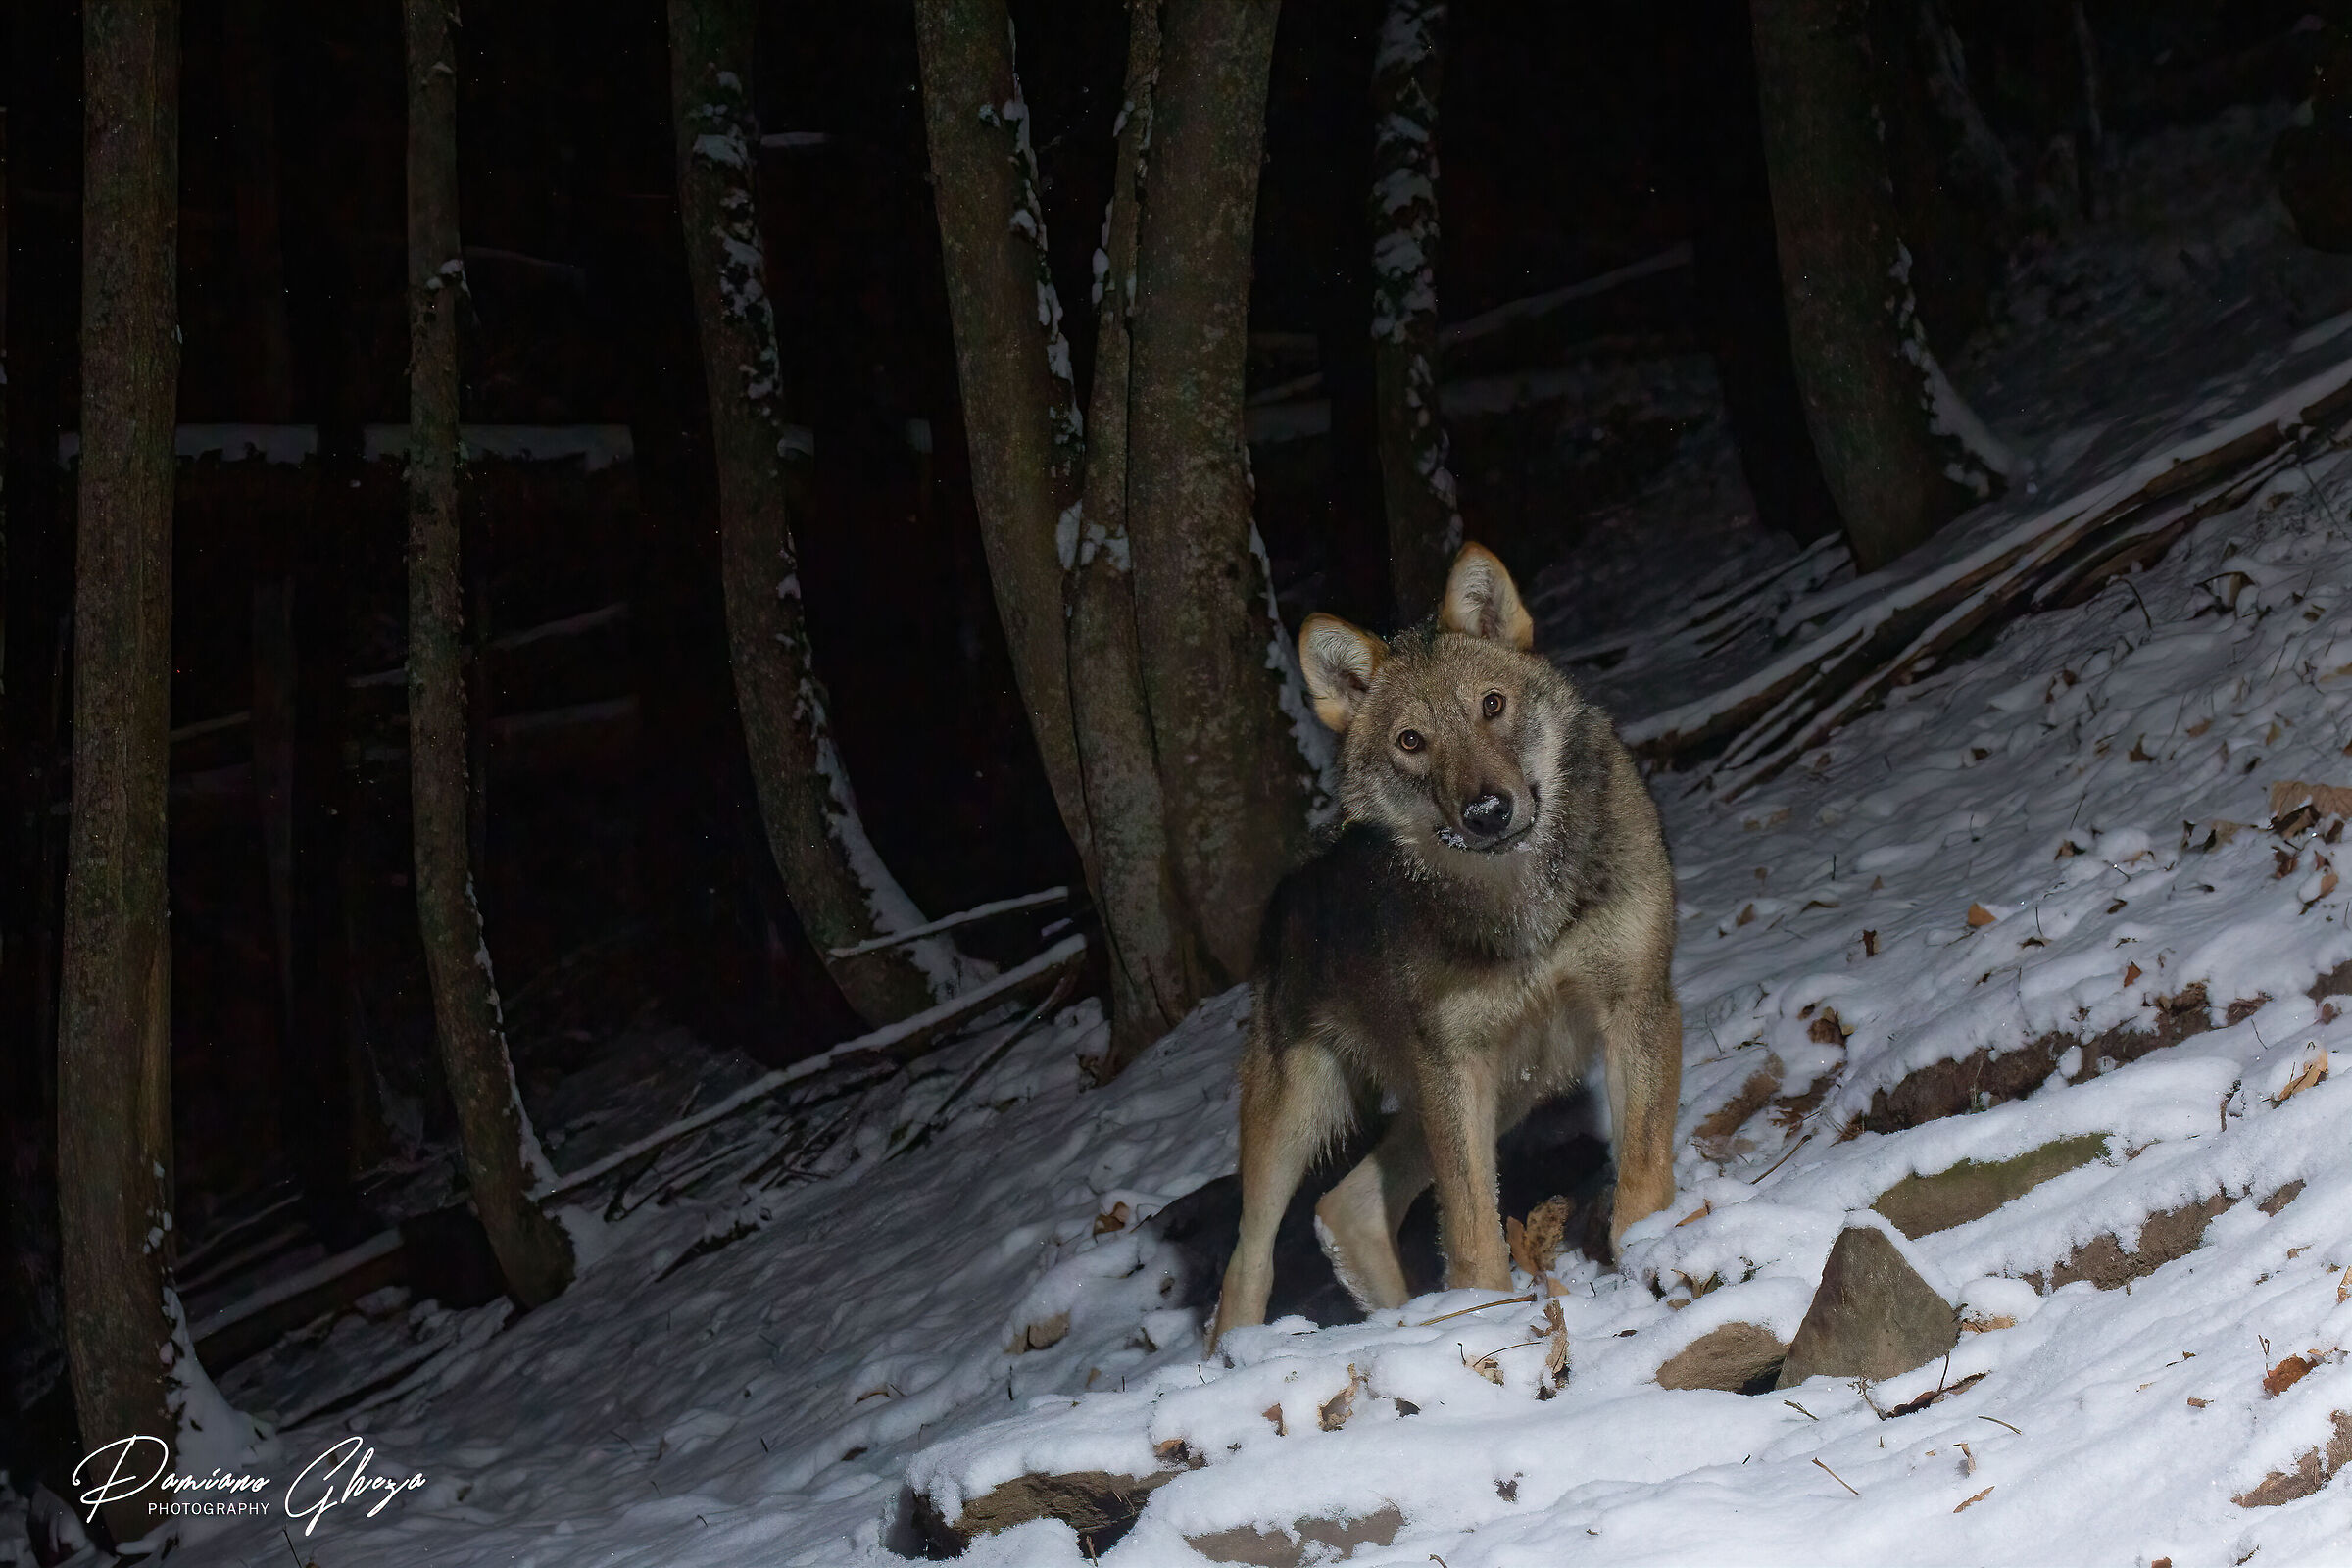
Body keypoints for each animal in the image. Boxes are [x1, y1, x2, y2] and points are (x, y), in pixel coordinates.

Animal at [1209, 543, 1681, 1348]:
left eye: (1491, 705)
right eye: (1412, 742)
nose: (1487, 811)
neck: (1520, 908)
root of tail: (1295, 879)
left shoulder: (1634, 1007)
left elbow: (1642, 1173)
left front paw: (1655, 1256)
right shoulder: (1455, 1067)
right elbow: (1471, 1233)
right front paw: (1488, 1319)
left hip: (1511, 1084)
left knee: (1343, 1205)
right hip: (1303, 1119)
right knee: (1246, 1264)